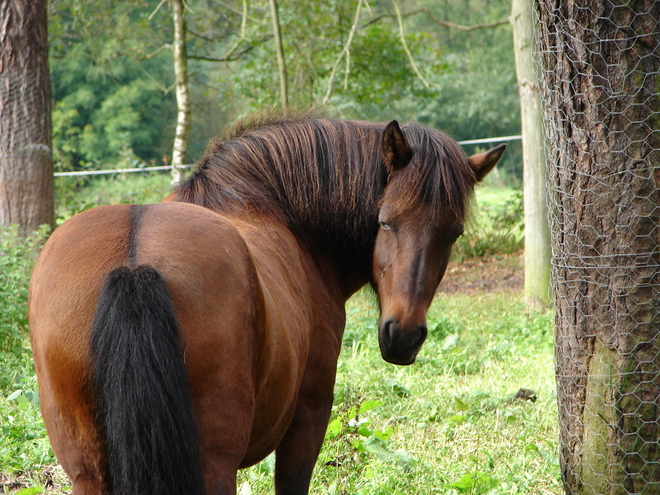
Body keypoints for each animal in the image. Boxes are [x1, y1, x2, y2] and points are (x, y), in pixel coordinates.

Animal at [28, 114, 506, 494]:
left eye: (454, 233)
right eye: (385, 222)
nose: (403, 335)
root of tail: (134, 260)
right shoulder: (309, 417)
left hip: (88, 472)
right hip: (214, 464)